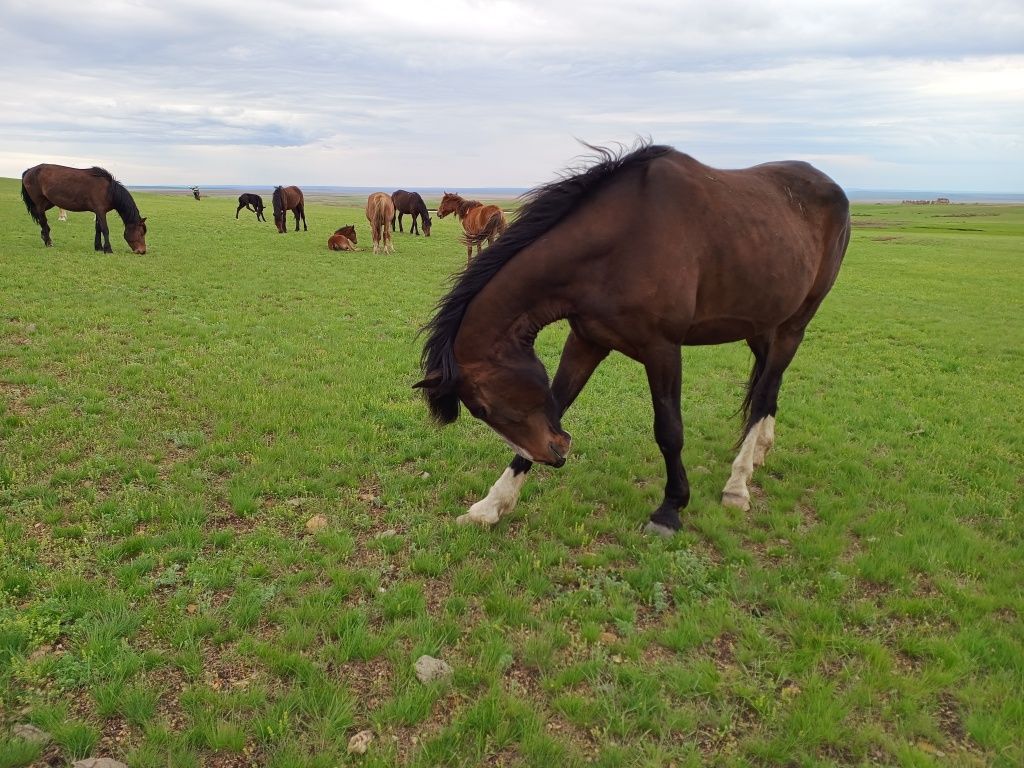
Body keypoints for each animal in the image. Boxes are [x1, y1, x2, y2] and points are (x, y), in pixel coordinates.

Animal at [20, 165, 148, 256]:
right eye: (141, 233)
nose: (142, 251)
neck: (109, 191)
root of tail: (29, 171)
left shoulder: (98, 212)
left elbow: (98, 229)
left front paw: (99, 247)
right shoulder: (101, 211)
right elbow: (105, 230)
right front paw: (108, 249)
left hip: (48, 203)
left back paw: (44, 237)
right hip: (40, 204)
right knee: (43, 221)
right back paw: (48, 242)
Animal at [415, 145, 847, 540]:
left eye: (485, 407)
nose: (557, 453)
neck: (619, 242)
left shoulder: (662, 349)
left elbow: (669, 430)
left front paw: (670, 509)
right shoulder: (586, 341)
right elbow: (558, 401)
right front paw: (492, 504)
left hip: (794, 324)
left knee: (763, 393)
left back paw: (738, 484)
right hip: (761, 325)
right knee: (768, 388)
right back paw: (758, 453)